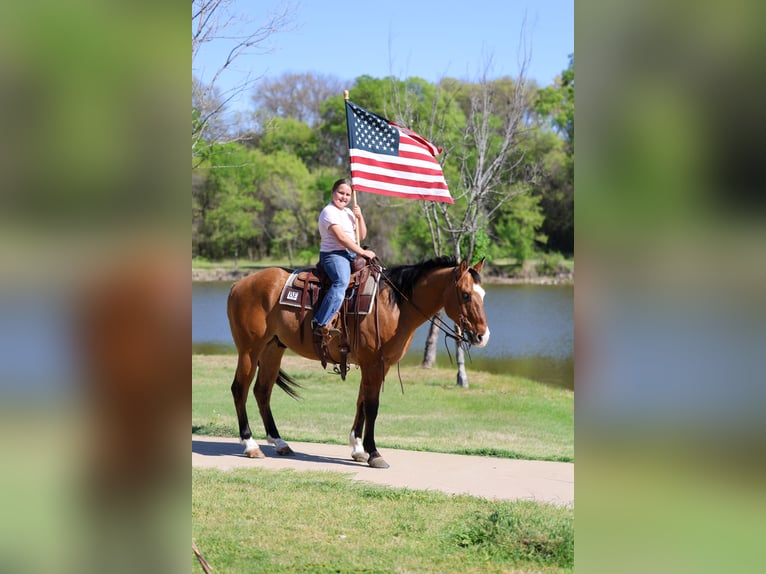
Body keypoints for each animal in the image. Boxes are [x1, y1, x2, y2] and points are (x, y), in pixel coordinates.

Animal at [226, 256, 490, 468]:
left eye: (483, 295)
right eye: (466, 295)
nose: (482, 336)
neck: (395, 305)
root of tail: (239, 284)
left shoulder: (378, 365)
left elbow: (361, 403)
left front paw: (357, 448)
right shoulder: (373, 363)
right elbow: (372, 406)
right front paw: (374, 453)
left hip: (272, 349)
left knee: (262, 391)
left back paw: (279, 442)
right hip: (249, 350)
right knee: (240, 389)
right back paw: (250, 444)